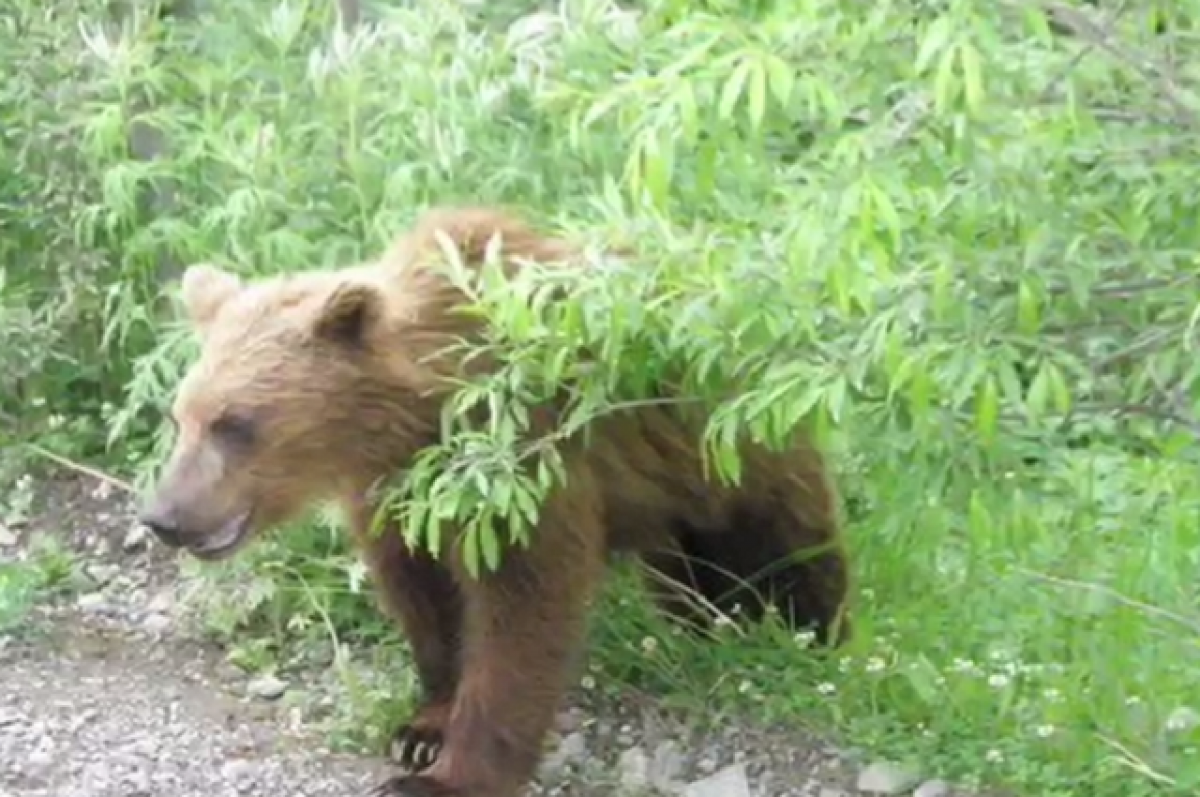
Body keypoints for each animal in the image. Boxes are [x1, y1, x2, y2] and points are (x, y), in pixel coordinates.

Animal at [138, 206, 854, 797]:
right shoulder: (396, 499)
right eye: (181, 418)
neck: (417, 416)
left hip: (732, 456)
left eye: (236, 424)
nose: (164, 517)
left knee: (786, 553)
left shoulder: (517, 463)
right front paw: (422, 728)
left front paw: (442, 777)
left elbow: (521, 614)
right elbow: (428, 600)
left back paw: (811, 633)